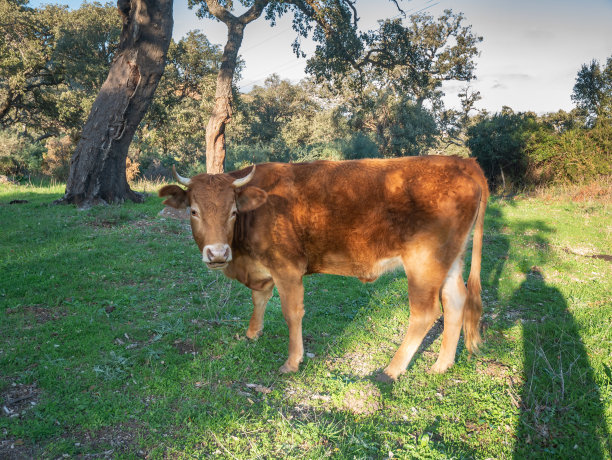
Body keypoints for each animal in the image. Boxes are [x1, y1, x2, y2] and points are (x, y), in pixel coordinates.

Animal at [158, 156, 488, 382]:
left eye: (233, 211)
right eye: (193, 211)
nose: (217, 253)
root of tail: (462, 161)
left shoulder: (287, 268)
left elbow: (292, 314)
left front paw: (292, 361)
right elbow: (259, 299)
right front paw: (252, 334)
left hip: (424, 263)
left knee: (425, 313)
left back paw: (391, 370)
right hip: (451, 260)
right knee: (456, 300)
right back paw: (441, 364)